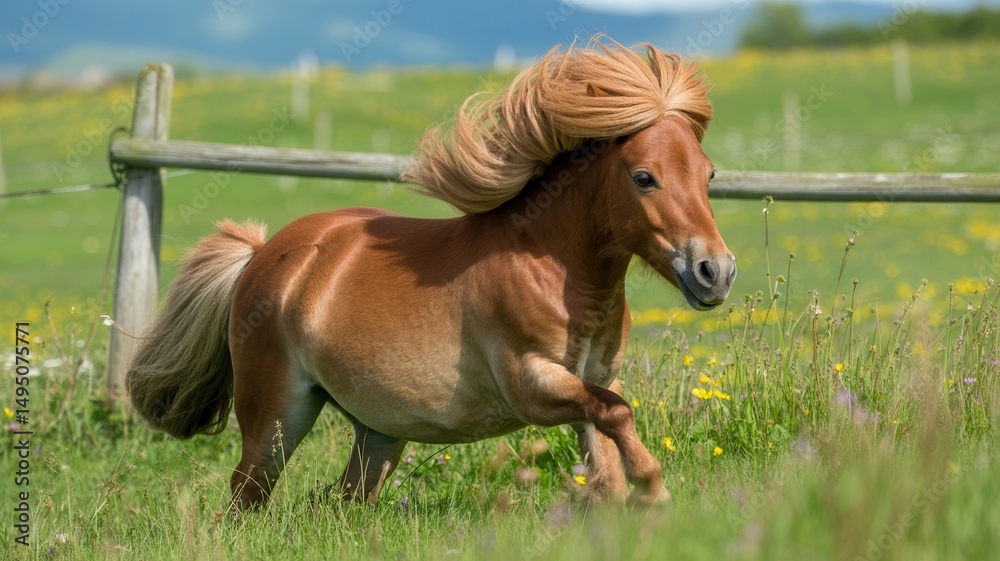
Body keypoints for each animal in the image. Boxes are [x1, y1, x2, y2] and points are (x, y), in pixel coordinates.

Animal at [126, 39, 736, 510]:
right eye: (643, 177)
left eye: (709, 174)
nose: (716, 272)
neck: (550, 267)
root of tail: (261, 255)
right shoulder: (531, 384)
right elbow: (618, 414)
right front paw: (654, 490)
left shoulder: (593, 378)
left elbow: (608, 443)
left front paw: (630, 499)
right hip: (276, 417)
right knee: (244, 497)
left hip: (378, 432)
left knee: (347, 499)